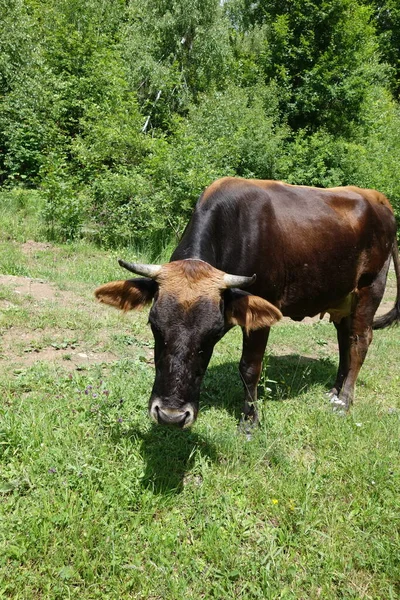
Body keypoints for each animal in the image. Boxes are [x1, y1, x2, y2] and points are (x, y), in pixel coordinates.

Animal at [95, 178, 398, 426]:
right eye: (154, 325)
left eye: (213, 333)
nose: (171, 415)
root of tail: (377, 198)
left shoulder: (260, 315)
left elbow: (249, 368)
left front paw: (250, 420)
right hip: (341, 298)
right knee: (345, 340)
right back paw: (335, 390)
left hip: (370, 288)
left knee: (360, 341)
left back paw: (345, 400)